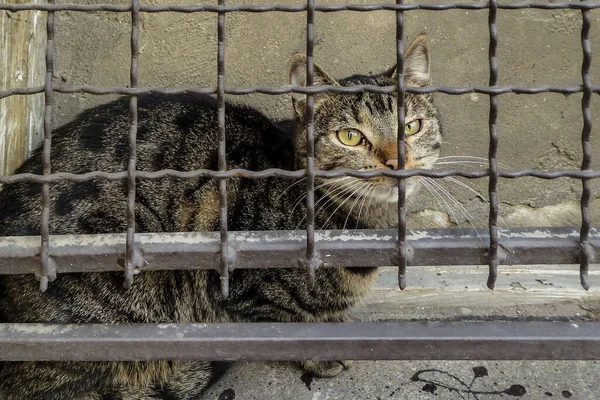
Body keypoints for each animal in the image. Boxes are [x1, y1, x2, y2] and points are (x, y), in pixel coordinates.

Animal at [0, 35, 440, 400]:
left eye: (411, 127)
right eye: (350, 137)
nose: (397, 160)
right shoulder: (243, 286)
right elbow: (289, 321)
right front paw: (324, 348)